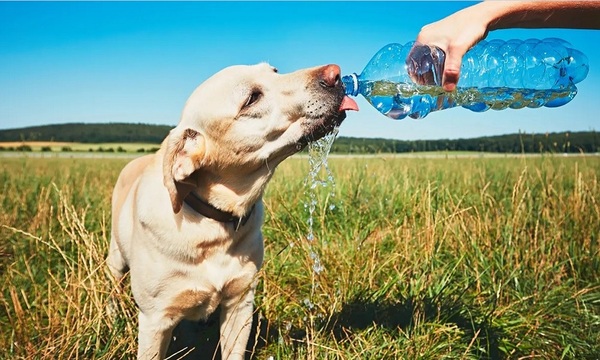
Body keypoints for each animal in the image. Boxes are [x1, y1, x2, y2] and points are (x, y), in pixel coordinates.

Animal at [106, 63, 358, 358]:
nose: (335, 73)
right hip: (115, 259)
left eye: (275, 71)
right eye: (252, 98)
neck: (212, 224)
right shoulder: (154, 320)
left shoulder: (240, 303)